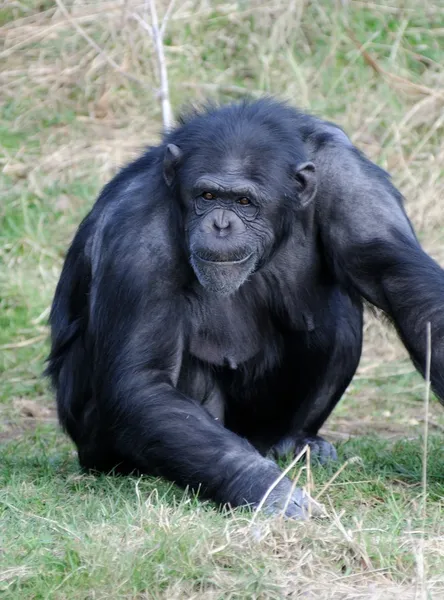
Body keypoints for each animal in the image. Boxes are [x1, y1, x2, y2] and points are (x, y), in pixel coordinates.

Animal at [46, 99, 444, 520]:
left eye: (244, 201)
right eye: (206, 196)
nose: (221, 225)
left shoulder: (357, 188)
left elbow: (408, 291)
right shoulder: (137, 235)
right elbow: (142, 380)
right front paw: (269, 490)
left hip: (263, 425)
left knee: (336, 318)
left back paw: (296, 442)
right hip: (98, 445)